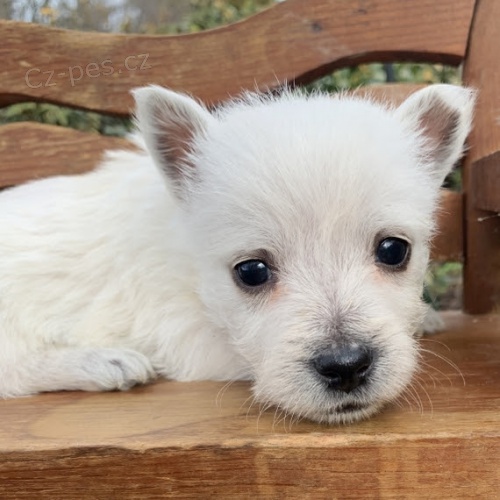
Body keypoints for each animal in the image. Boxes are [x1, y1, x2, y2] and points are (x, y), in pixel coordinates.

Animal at [0, 85, 472, 422]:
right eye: (251, 271)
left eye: (393, 250)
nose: (346, 366)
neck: (190, 268)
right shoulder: (189, 337)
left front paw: (426, 318)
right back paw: (103, 362)